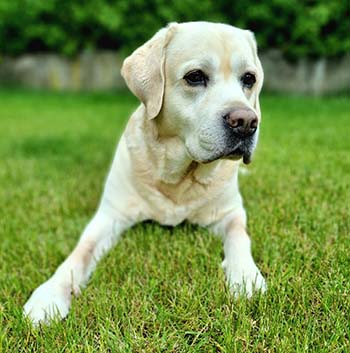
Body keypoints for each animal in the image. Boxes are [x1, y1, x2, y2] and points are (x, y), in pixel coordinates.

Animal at [23, 22, 266, 324]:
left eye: (249, 79)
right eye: (195, 77)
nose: (246, 122)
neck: (178, 176)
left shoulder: (230, 213)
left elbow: (239, 236)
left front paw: (246, 276)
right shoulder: (110, 216)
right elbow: (80, 253)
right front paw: (49, 294)